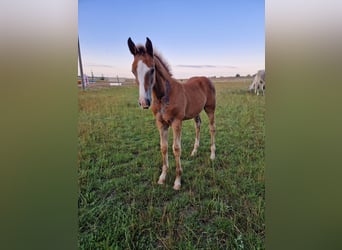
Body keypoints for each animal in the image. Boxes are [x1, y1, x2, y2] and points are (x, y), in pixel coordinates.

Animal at [127, 37, 215, 189]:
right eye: (133, 71)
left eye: (152, 69)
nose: (144, 102)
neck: (164, 95)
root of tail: (206, 78)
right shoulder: (161, 123)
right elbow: (163, 147)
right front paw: (162, 177)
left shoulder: (176, 122)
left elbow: (176, 148)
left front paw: (178, 181)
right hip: (196, 111)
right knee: (198, 126)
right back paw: (194, 151)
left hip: (210, 109)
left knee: (211, 128)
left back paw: (212, 155)